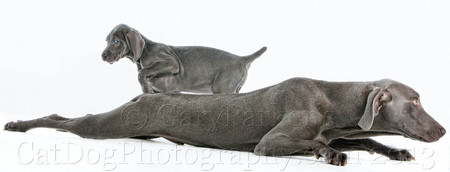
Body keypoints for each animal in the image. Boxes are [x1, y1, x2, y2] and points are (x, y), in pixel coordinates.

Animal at [101, 23, 268, 93]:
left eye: (116, 41)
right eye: (107, 40)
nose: (102, 56)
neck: (145, 51)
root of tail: (241, 59)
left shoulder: (171, 63)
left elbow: (142, 72)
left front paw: (145, 88)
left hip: (222, 88)